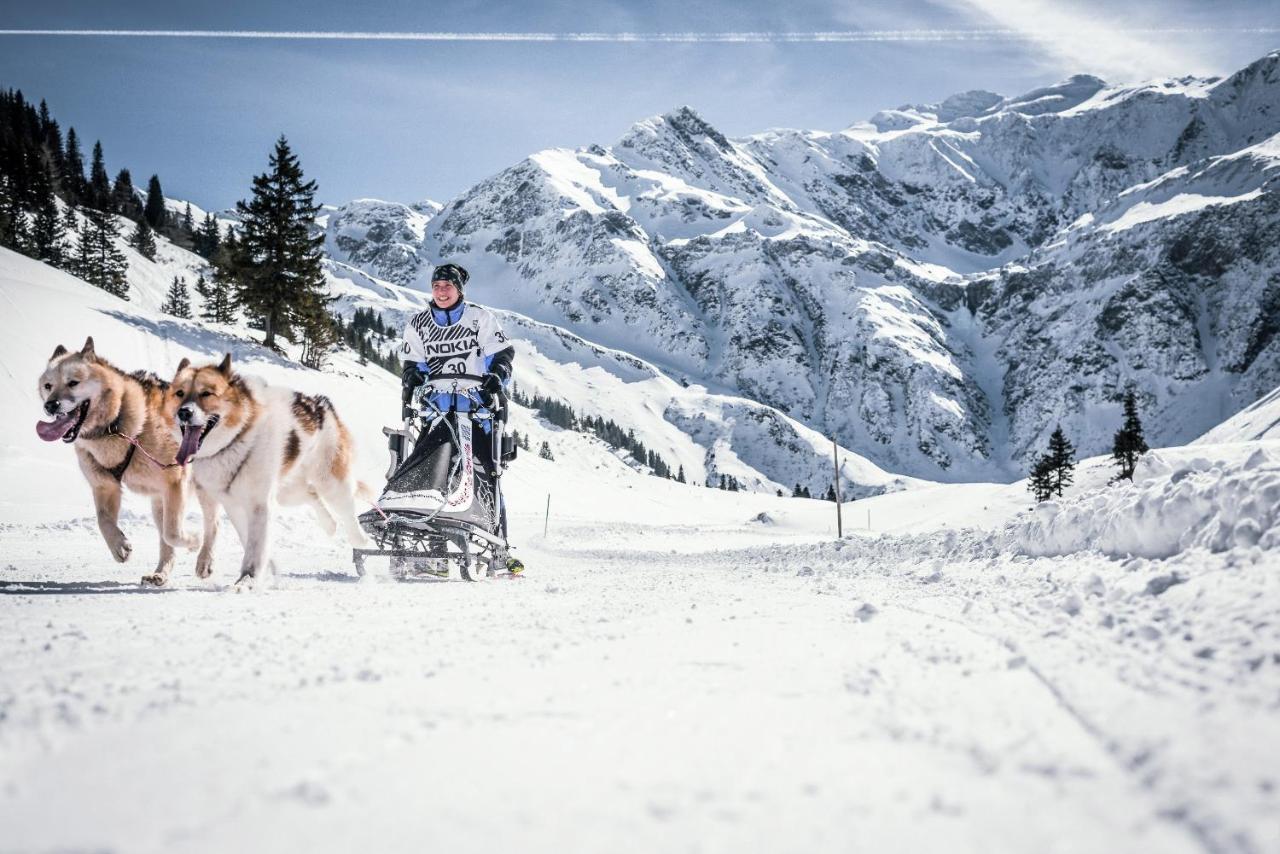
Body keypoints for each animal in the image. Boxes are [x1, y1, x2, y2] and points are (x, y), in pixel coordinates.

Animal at [35, 338, 202, 583]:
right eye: (48, 386)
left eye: (73, 382)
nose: (50, 405)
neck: (115, 424)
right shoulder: (105, 485)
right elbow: (103, 520)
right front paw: (119, 546)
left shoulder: (176, 482)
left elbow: (173, 532)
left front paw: (194, 541)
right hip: (159, 503)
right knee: (165, 540)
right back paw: (160, 573)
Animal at [167, 350, 373, 583]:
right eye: (180, 393)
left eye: (206, 393)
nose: (184, 412)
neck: (237, 439)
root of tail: (322, 404)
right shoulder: (231, 503)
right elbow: (237, 535)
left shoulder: (259, 504)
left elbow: (254, 546)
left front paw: (247, 581)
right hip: (287, 492)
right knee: (312, 493)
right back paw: (329, 525)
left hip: (330, 482)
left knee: (346, 509)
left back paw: (360, 539)